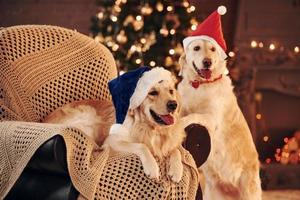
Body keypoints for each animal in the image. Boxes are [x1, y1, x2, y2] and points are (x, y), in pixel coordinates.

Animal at [177, 5, 262, 200]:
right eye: (197, 48)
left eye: (213, 49)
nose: (207, 62)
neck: (200, 85)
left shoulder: (211, 118)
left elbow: (192, 116)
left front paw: (179, 123)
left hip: (249, 190)